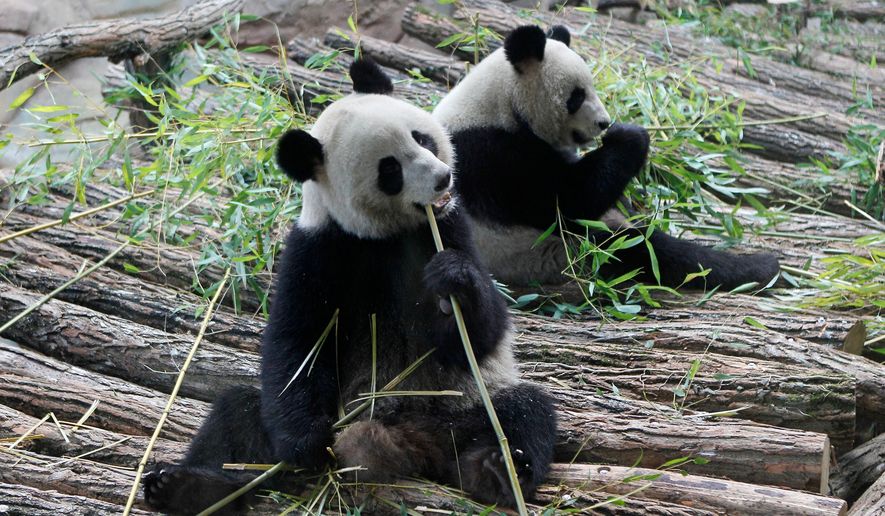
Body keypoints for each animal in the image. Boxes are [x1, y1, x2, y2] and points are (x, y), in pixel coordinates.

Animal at [141, 58, 556, 514]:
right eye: (390, 170)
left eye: (421, 137)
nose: (443, 178)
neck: (384, 235)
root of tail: (413, 443)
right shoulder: (318, 250)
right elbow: (297, 343)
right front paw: (307, 445)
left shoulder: (449, 227)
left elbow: (479, 335)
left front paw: (454, 281)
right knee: (236, 413)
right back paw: (187, 486)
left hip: (464, 407)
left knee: (524, 411)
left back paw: (497, 471)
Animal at [433, 25, 780, 290]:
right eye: (576, 96)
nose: (603, 123)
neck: (501, 102)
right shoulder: (495, 156)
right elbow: (567, 201)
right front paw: (630, 136)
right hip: (552, 254)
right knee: (641, 250)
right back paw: (758, 268)